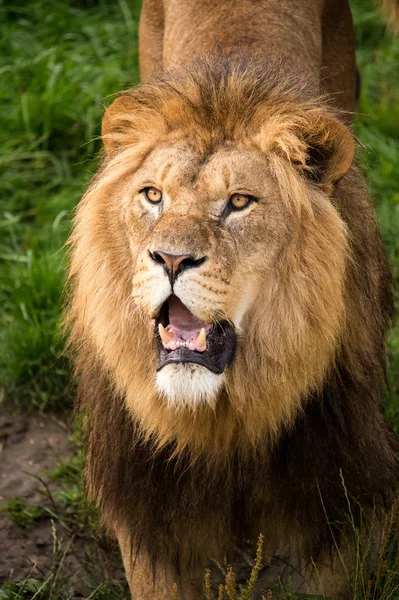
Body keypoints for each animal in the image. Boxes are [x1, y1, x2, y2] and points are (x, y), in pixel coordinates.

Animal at [67, 1, 398, 600]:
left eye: (239, 202)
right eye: (153, 195)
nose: (170, 259)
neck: (221, 422)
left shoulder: (346, 496)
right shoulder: (149, 516)